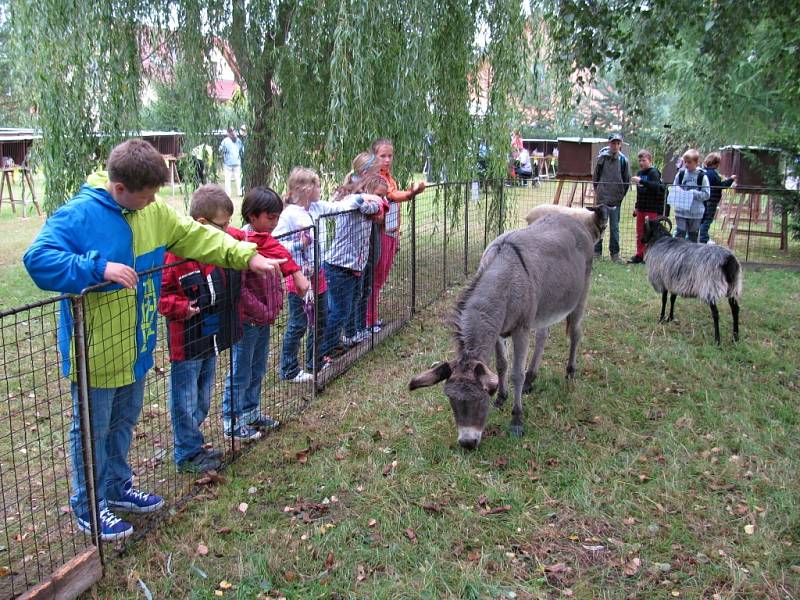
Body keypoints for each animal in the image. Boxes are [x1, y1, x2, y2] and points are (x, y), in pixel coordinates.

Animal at [406, 211, 608, 450]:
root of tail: (576, 222)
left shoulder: (521, 329)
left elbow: (515, 373)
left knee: (576, 334)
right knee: (543, 335)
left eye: (481, 398)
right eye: (450, 399)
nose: (467, 443)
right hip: (545, 306)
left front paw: (517, 419)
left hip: (579, 298)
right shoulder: (498, 331)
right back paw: (532, 378)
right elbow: (501, 365)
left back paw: (569, 373)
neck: (506, 276)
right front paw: (501, 398)